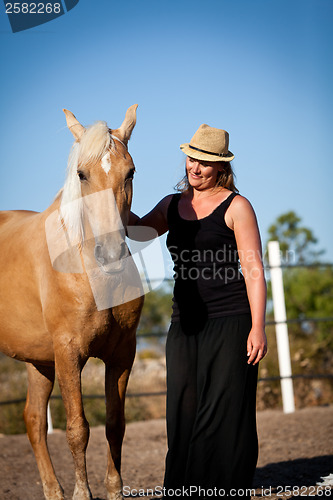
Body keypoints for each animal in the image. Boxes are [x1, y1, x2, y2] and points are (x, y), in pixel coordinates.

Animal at [0, 103, 143, 498]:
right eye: (82, 174)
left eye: (130, 172)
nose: (110, 254)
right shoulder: (68, 353)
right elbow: (78, 429)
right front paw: (83, 493)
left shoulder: (121, 354)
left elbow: (115, 425)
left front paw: (114, 490)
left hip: (38, 361)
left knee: (34, 420)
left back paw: (53, 491)